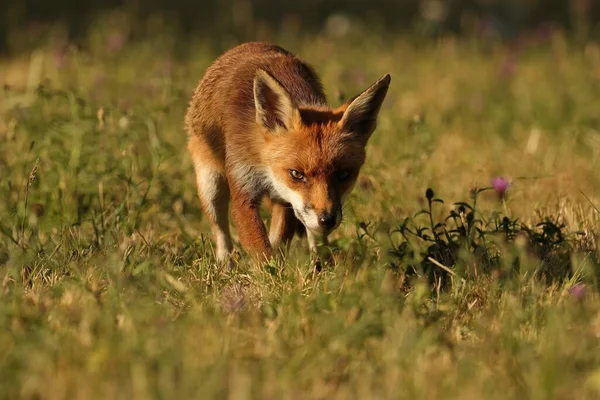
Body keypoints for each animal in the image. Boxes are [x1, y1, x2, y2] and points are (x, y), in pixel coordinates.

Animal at [185, 42, 392, 264]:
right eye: (296, 174)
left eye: (343, 174)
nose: (326, 220)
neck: (263, 164)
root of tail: (250, 44)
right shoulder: (243, 187)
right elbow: (261, 248)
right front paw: (270, 272)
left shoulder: (286, 200)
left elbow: (278, 241)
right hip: (210, 185)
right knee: (220, 230)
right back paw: (225, 264)